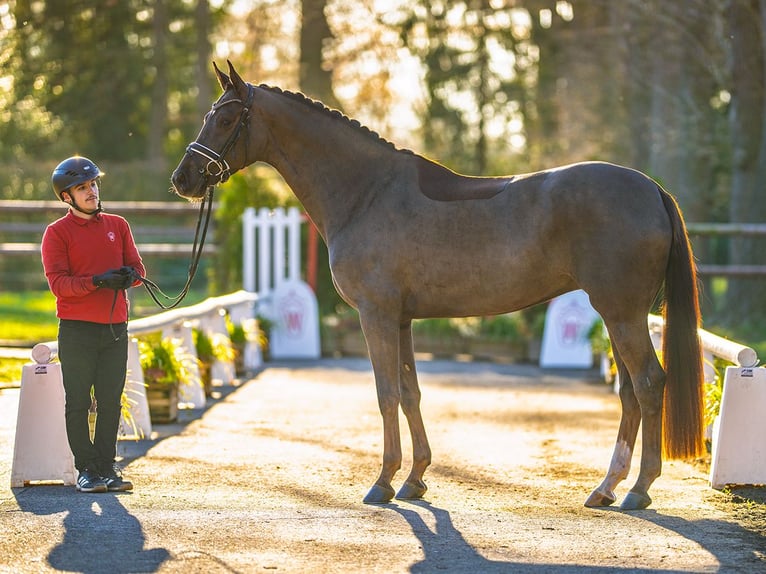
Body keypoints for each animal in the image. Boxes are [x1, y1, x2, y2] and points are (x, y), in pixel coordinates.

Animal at [171, 61, 704, 511]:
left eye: (226, 119)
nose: (184, 178)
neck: (366, 192)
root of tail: (651, 188)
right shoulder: (402, 318)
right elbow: (410, 392)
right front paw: (414, 479)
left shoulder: (376, 314)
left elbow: (385, 392)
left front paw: (382, 482)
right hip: (616, 315)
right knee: (631, 392)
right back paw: (606, 487)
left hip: (622, 312)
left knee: (648, 383)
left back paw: (638, 490)